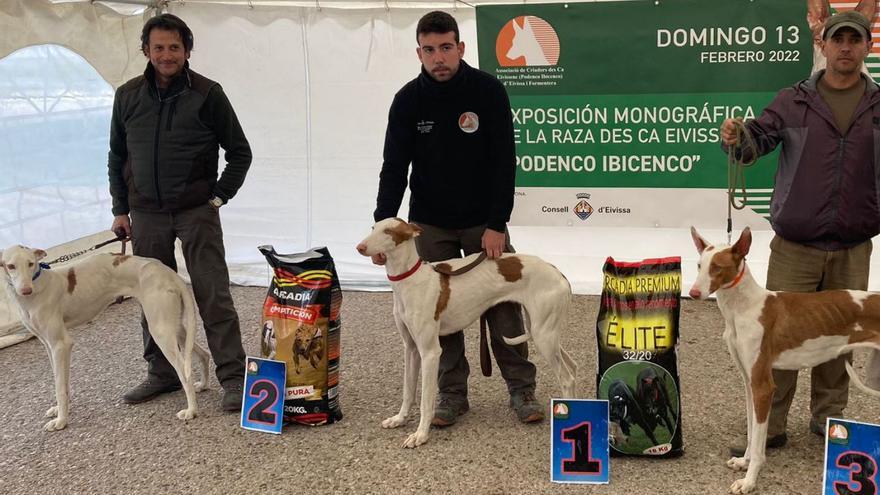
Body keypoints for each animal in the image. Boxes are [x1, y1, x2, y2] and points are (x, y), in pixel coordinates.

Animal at [0, 246, 211, 432]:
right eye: (11, 266)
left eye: (31, 263)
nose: (25, 290)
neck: (38, 287)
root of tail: (168, 272)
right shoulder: (48, 345)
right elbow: (60, 382)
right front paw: (59, 411)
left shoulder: (61, 345)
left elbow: (60, 386)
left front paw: (61, 421)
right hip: (174, 328)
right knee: (204, 354)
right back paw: (203, 385)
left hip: (161, 331)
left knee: (185, 373)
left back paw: (192, 410)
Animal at [358, 219, 576, 448]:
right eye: (373, 228)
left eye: (388, 231)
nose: (360, 247)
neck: (410, 280)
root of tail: (558, 273)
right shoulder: (411, 349)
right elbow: (408, 391)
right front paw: (399, 419)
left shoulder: (430, 352)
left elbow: (426, 400)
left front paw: (420, 435)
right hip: (545, 332)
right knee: (573, 366)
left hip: (543, 336)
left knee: (567, 378)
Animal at [688, 228, 880, 492]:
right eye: (699, 265)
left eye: (717, 267)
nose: (694, 293)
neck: (743, 307)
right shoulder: (749, 383)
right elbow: (752, 432)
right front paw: (744, 461)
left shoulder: (763, 386)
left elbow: (758, 440)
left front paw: (750, 480)